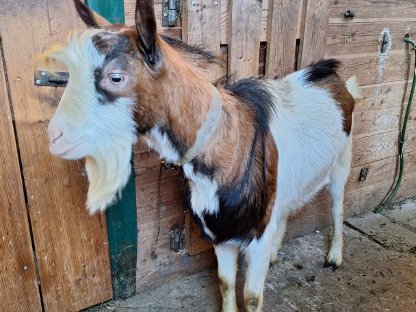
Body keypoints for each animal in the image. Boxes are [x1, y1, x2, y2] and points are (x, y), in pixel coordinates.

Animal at [36, 1, 360, 310]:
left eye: (116, 77)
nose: (55, 137)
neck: (226, 143)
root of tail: (337, 81)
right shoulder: (220, 234)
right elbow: (226, 284)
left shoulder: (256, 235)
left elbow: (252, 296)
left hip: (342, 162)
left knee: (337, 206)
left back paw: (334, 257)